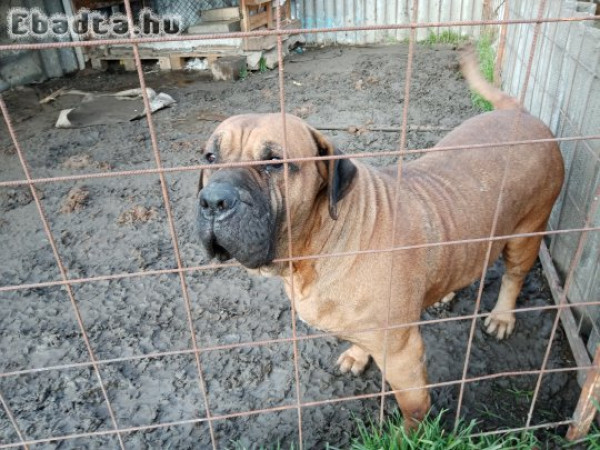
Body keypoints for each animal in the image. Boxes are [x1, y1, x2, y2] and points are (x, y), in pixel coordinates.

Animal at [198, 51, 568, 428]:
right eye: (210, 157)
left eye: (275, 162)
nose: (213, 200)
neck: (320, 245)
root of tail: (520, 113)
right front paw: (358, 354)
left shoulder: (402, 352)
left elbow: (414, 405)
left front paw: (410, 432)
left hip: (528, 231)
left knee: (514, 276)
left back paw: (503, 317)